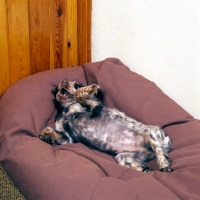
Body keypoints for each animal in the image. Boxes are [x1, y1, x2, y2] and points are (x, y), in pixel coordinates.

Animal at [38, 80, 173, 173]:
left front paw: (90, 88)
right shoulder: (68, 138)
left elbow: (80, 94)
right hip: (124, 156)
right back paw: (143, 168)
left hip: (150, 134)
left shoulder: (94, 106)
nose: (64, 82)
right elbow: (49, 129)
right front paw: (44, 136)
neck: (68, 111)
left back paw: (164, 167)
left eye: (77, 84)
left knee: (162, 155)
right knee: (128, 162)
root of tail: (165, 140)